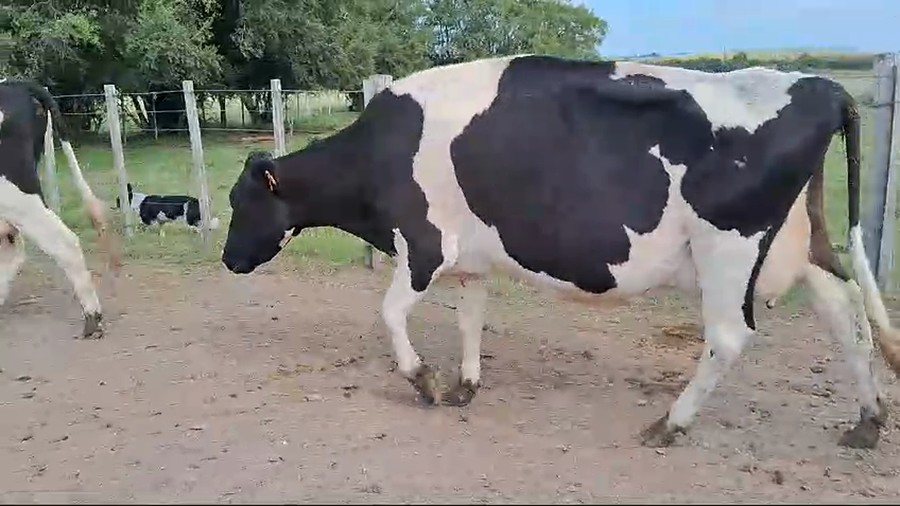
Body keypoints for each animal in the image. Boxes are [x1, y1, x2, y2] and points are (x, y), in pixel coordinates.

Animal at [220, 55, 900, 449]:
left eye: (241, 202)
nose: (227, 260)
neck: (382, 149)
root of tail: (816, 85)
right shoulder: (470, 257)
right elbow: (470, 318)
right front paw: (465, 385)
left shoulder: (423, 244)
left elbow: (389, 314)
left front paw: (426, 382)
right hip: (803, 244)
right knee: (847, 317)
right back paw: (866, 421)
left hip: (727, 248)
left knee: (730, 337)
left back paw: (669, 424)